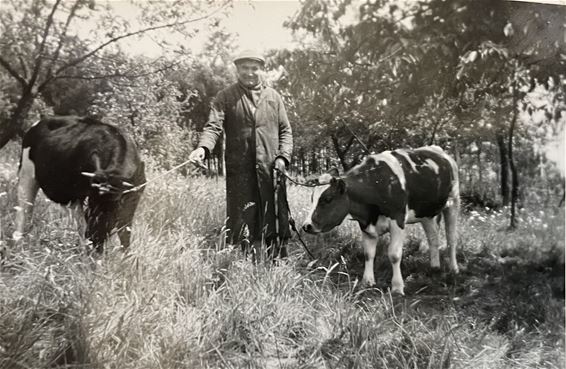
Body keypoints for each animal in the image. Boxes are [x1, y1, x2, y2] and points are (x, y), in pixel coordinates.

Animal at [13, 115, 148, 253]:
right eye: (92, 202)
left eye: (116, 207)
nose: (95, 240)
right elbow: (83, 226)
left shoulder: (132, 200)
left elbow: (125, 232)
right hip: (26, 174)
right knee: (24, 211)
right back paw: (18, 244)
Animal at [304, 145, 460, 294]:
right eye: (312, 198)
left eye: (327, 199)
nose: (307, 226)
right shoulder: (365, 224)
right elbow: (368, 254)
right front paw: (367, 282)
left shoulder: (398, 219)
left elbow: (394, 255)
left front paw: (397, 287)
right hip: (426, 213)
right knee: (433, 238)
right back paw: (435, 267)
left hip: (453, 202)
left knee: (451, 239)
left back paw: (454, 269)